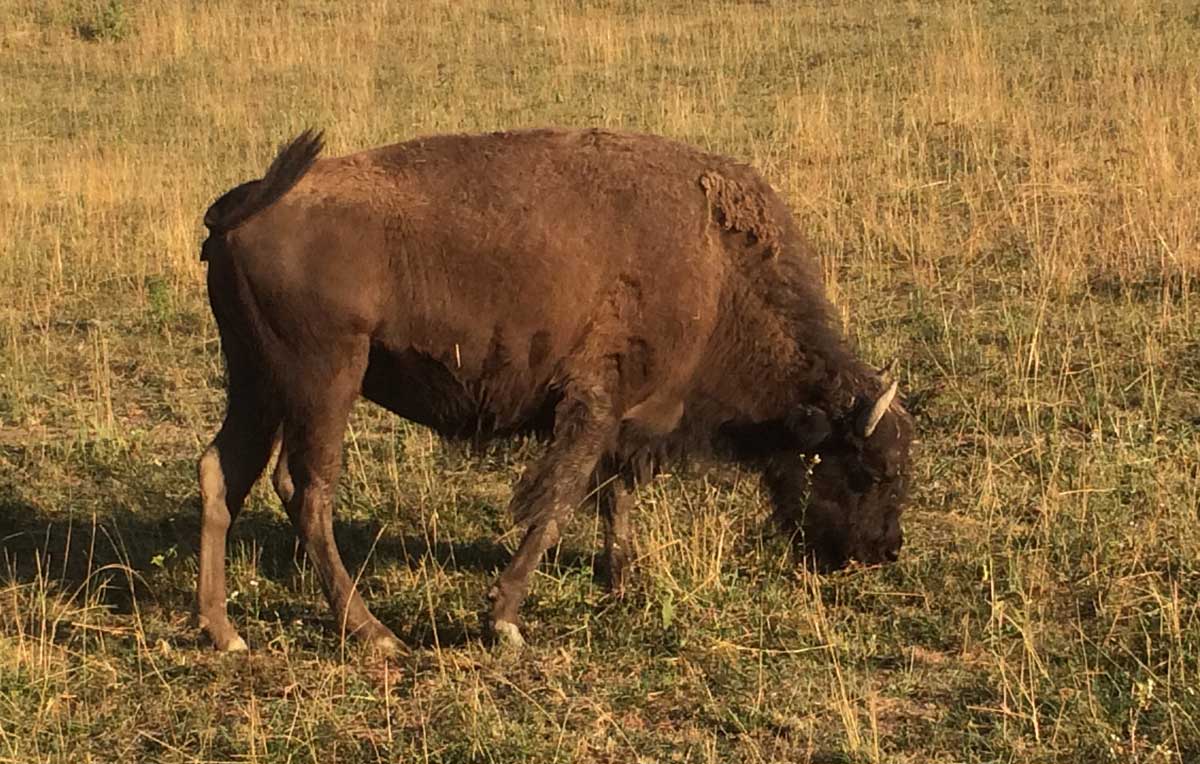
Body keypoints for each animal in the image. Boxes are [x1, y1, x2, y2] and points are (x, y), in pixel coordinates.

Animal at [196, 127, 914, 651]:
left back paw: (224, 632)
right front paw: (504, 620)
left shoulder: (624, 420)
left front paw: (622, 582)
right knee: (307, 490)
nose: (883, 551)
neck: (716, 268)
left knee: (223, 472)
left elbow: (613, 496)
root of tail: (245, 204)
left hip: (258, 382)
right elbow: (557, 501)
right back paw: (374, 635)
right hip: (326, 379)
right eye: (869, 471)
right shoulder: (592, 407)